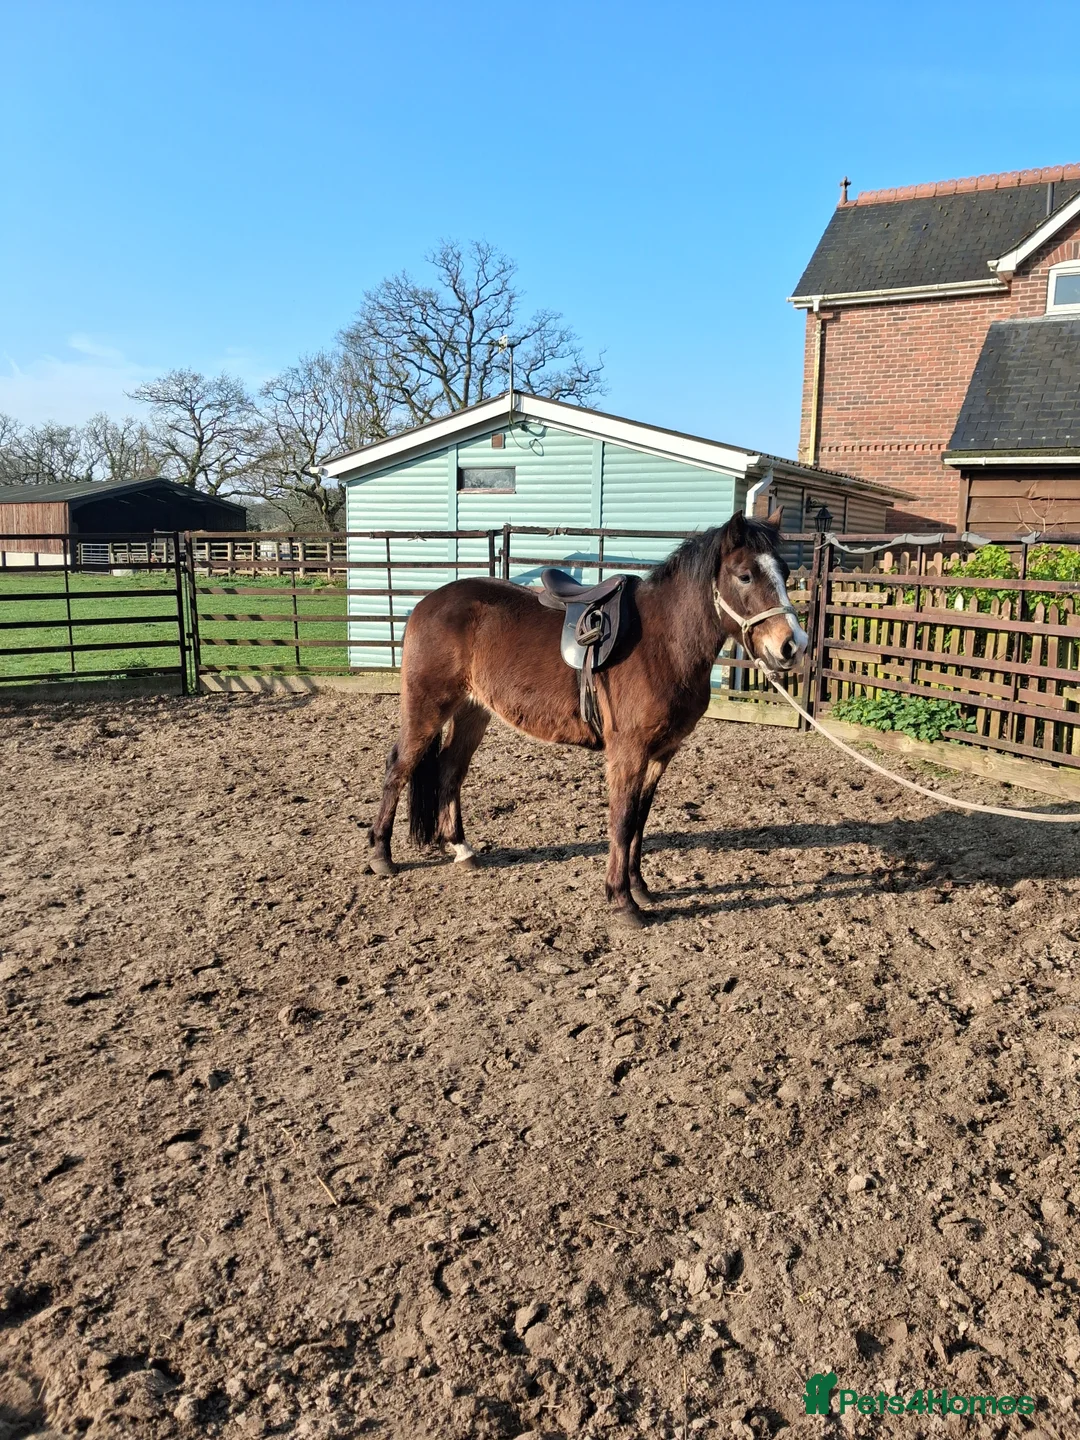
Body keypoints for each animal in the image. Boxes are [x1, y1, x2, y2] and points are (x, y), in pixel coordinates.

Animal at [366, 510, 807, 926]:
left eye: (785, 573)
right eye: (745, 575)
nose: (793, 646)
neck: (663, 643)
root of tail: (426, 604)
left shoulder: (661, 753)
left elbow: (640, 819)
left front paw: (639, 887)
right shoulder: (628, 751)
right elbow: (623, 820)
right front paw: (622, 900)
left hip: (473, 711)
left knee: (449, 772)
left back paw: (460, 849)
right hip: (428, 707)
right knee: (399, 767)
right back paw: (381, 855)